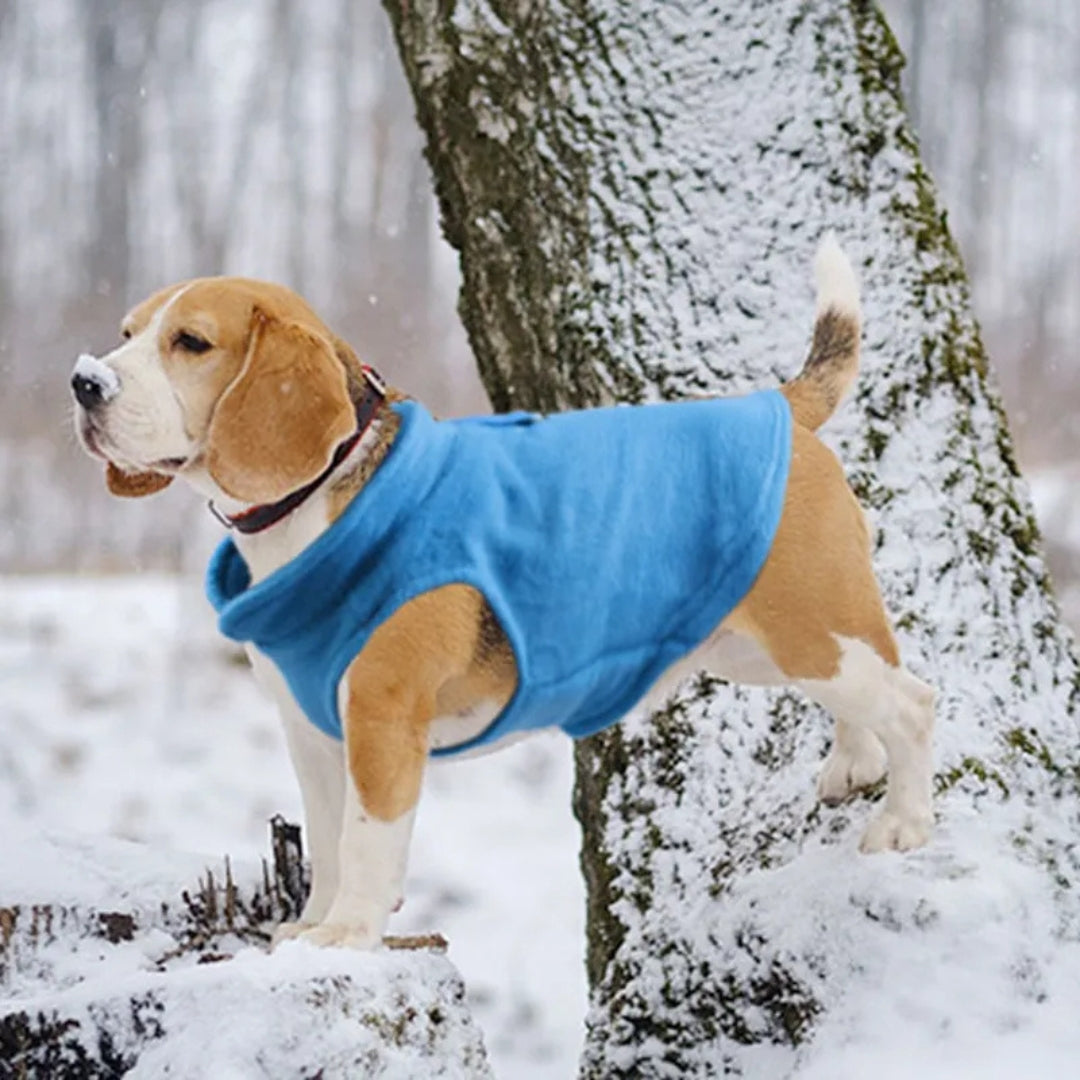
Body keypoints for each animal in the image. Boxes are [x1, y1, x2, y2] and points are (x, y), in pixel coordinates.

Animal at [73, 240, 937, 950]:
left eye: (190, 342)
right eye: (126, 331)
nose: (85, 381)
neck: (320, 495)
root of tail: (778, 408)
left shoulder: (382, 717)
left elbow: (365, 838)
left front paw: (348, 934)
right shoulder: (310, 729)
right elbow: (325, 838)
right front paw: (312, 925)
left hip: (811, 628)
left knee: (913, 701)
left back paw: (902, 820)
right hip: (757, 647)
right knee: (865, 696)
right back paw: (853, 762)